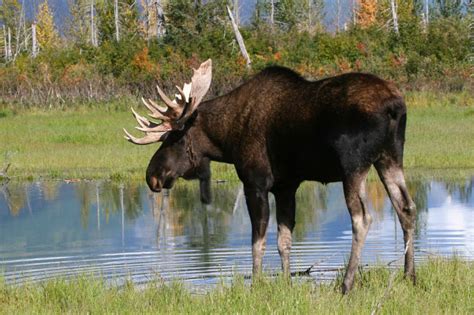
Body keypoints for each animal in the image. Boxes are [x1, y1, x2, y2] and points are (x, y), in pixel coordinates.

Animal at [124, 60, 416, 296]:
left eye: (173, 137)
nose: (152, 176)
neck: (227, 140)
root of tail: (395, 106)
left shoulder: (255, 183)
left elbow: (258, 242)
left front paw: (256, 284)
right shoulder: (286, 187)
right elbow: (284, 241)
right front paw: (286, 283)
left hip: (353, 166)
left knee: (362, 218)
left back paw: (346, 284)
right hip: (390, 158)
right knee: (406, 208)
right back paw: (409, 276)